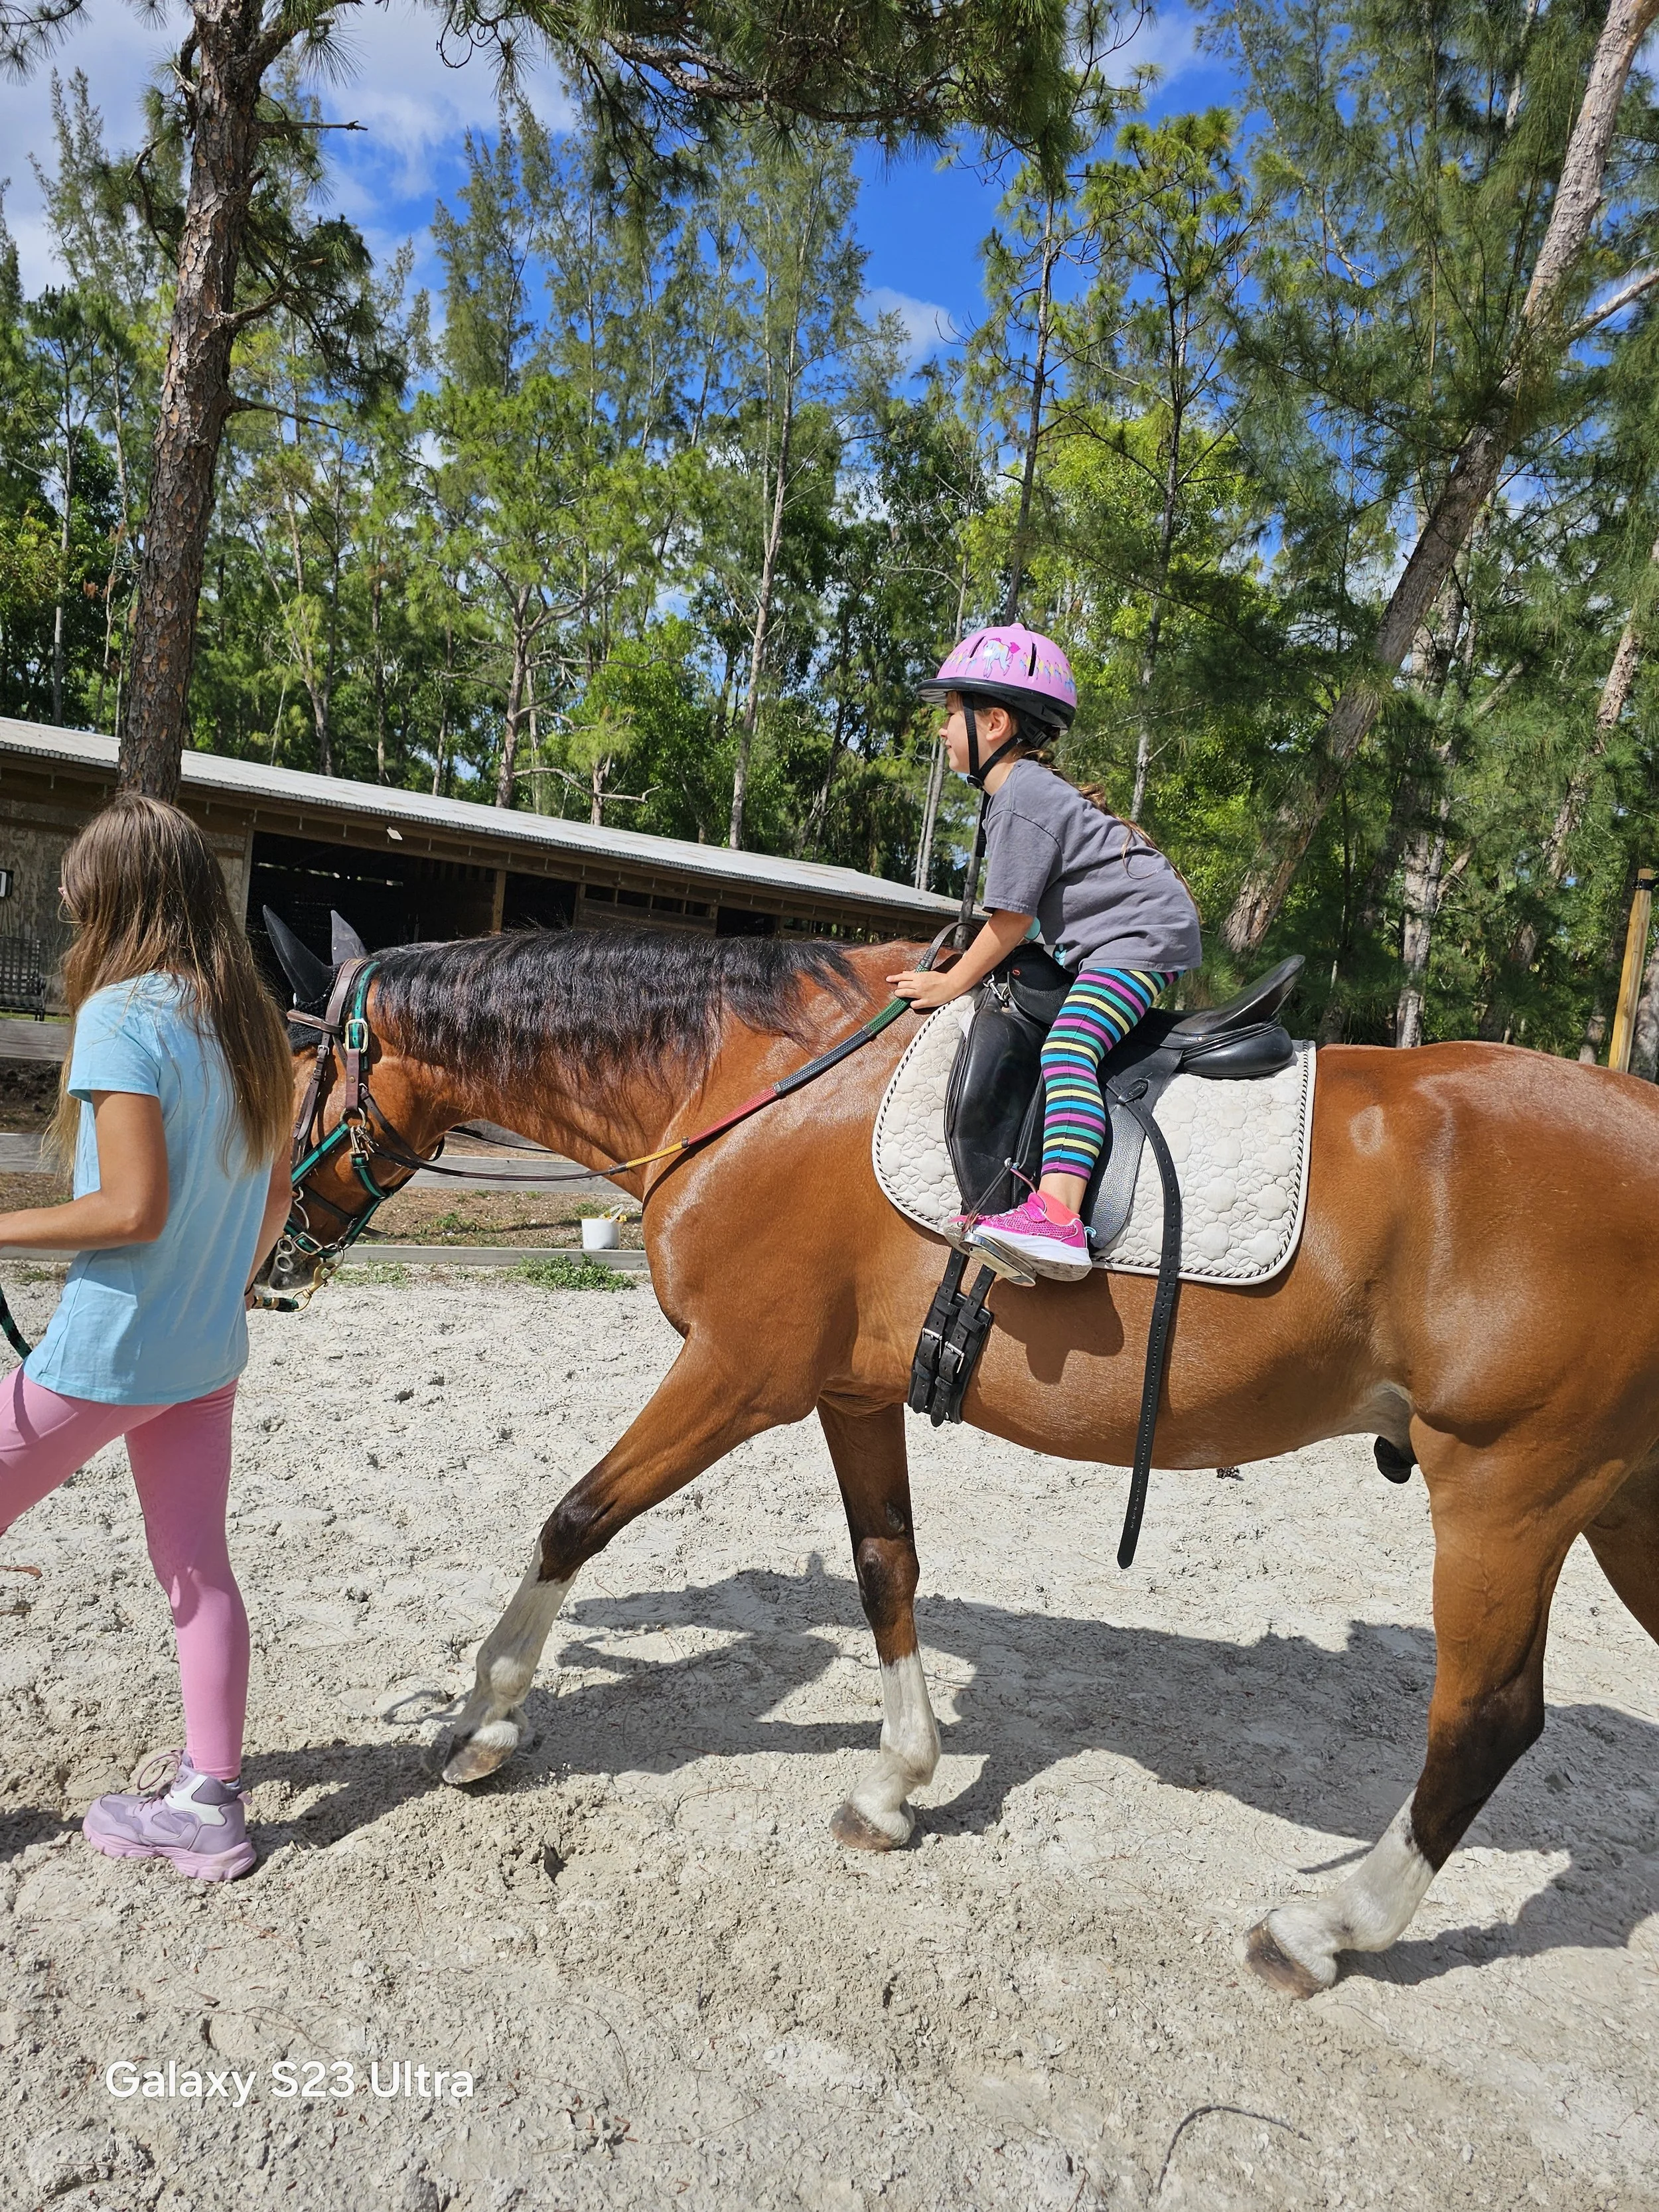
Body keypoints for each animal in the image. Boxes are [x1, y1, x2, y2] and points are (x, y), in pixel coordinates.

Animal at [259, 922, 1659, 2000]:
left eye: (291, 1084)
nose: (268, 1260)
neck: (753, 1077)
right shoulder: (847, 1390)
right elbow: (886, 1563)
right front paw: (897, 1782)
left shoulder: (737, 1373)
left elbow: (573, 1518)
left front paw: (478, 1716)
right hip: (1614, 1510)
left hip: (1507, 1489)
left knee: (1483, 1722)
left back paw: (1326, 1927)